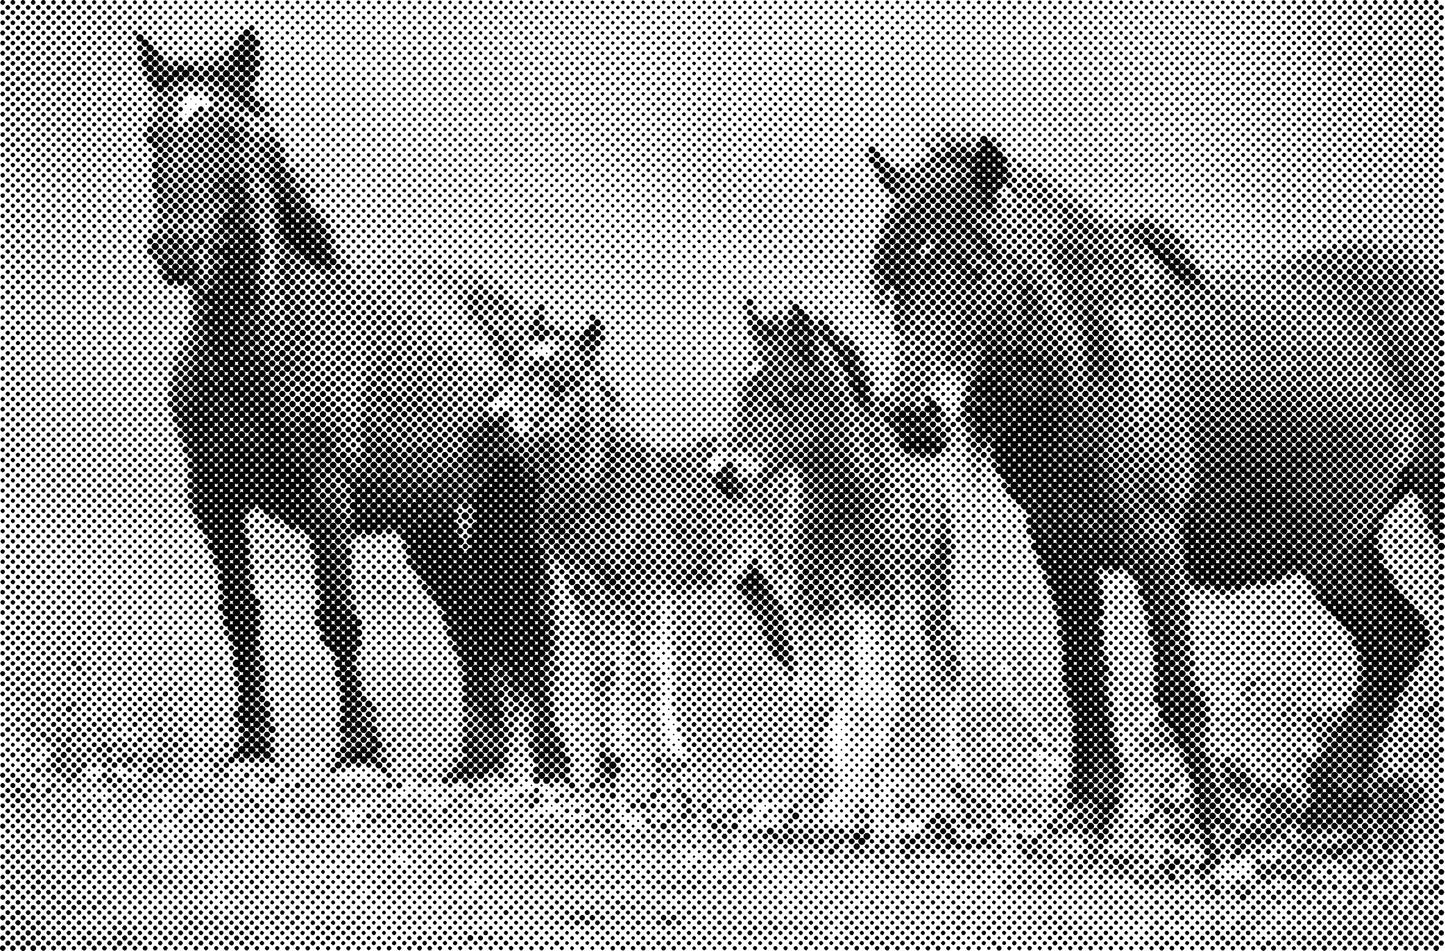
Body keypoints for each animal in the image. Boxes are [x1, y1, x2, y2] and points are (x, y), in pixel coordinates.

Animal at [136, 30, 568, 784]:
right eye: (159, 141)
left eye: (230, 142)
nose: (175, 253)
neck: (257, 349)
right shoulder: (218, 508)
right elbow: (242, 617)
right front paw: (254, 743)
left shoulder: (329, 507)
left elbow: (338, 620)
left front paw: (359, 746)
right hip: (430, 527)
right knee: (477, 623)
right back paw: (481, 759)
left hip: (489, 520)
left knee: (515, 626)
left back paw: (534, 764)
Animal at [481, 308, 792, 798]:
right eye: (506, 374)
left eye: (558, 381)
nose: (493, 423)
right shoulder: (581, 595)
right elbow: (592, 673)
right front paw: (599, 765)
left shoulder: (639, 596)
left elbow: (638, 673)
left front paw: (644, 760)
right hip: (746, 586)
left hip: (775, 575)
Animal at [708, 302, 958, 840]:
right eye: (744, 390)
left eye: (774, 393)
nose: (722, 475)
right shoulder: (806, 625)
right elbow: (817, 709)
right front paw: (807, 813)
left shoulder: (880, 620)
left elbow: (876, 711)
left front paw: (877, 815)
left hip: (922, 615)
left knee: (925, 693)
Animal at [869, 135, 1440, 864]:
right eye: (888, 279)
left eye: (964, 267)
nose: (913, 419)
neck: (1083, 365)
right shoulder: (1065, 555)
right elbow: (1084, 678)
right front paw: (1087, 819)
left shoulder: (1156, 550)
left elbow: (1178, 689)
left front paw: (1213, 836)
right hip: (1335, 545)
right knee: (1397, 639)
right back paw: (1328, 805)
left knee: (1396, 641)